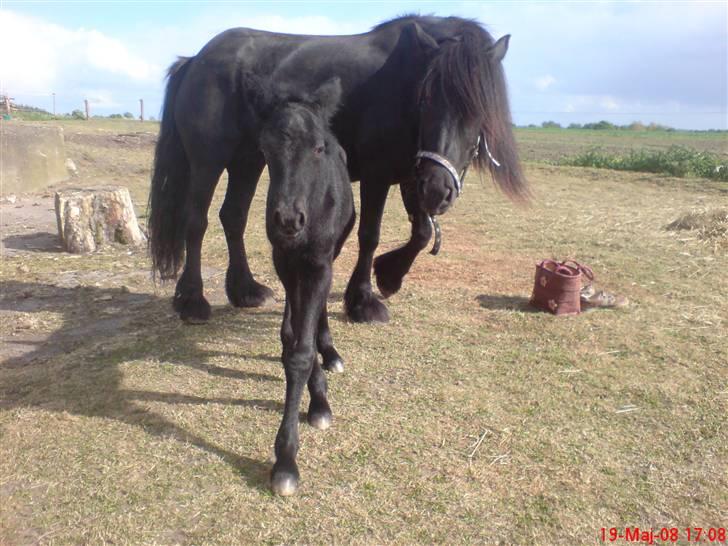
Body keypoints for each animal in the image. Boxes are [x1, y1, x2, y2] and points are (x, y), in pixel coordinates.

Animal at [148, 15, 527, 326]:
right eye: (426, 99)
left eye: (479, 110)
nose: (439, 191)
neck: (404, 79)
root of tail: (196, 59)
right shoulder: (378, 175)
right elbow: (369, 235)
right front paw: (362, 302)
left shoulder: (414, 174)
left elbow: (420, 233)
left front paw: (390, 275)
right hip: (207, 162)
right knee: (196, 221)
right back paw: (192, 300)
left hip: (248, 162)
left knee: (233, 217)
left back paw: (245, 290)